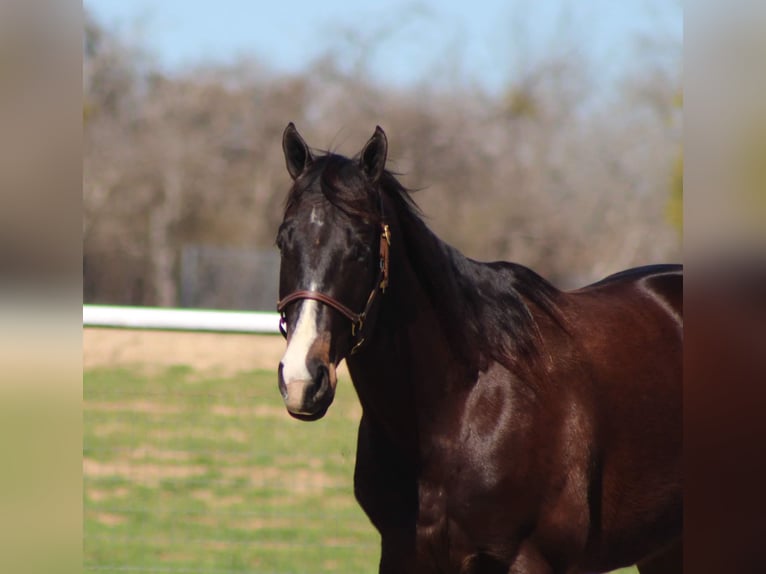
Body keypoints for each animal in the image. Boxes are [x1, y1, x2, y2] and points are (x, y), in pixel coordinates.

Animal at [276, 125, 684, 574]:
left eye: (361, 248)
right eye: (284, 241)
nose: (302, 379)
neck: (461, 406)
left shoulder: (526, 559)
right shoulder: (402, 555)